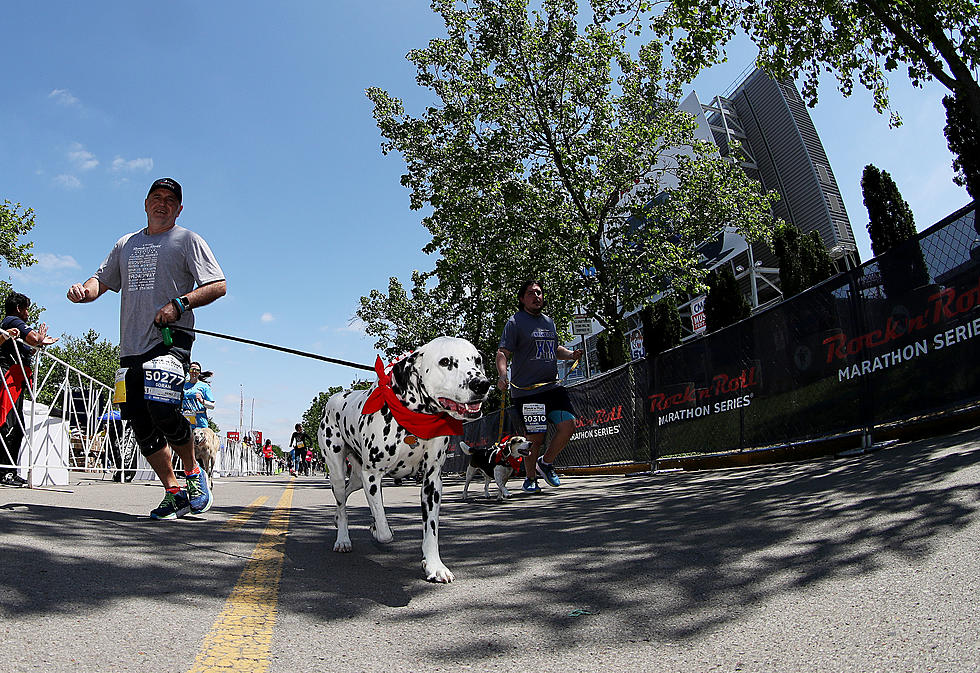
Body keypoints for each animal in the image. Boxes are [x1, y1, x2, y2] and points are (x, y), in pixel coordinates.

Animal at [320, 336, 494, 584]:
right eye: (445, 362)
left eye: (477, 360)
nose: (482, 384)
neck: (415, 418)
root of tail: (333, 399)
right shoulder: (372, 476)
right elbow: (384, 531)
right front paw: (376, 528)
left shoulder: (432, 481)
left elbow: (431, 529)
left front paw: (434, 565)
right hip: (337, 471)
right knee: (342, 503)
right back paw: (342, 538)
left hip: (357, 478)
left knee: (346, 493)